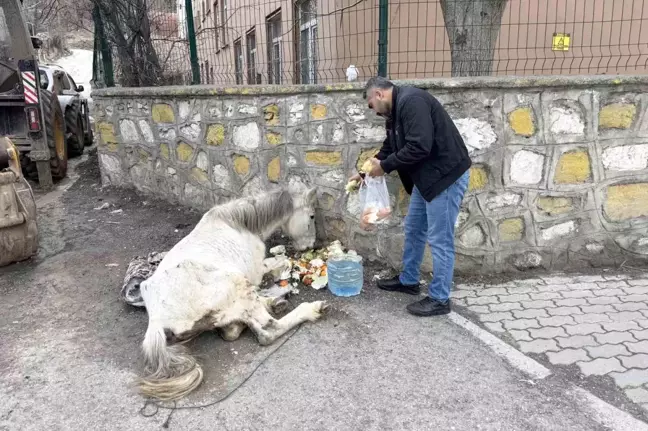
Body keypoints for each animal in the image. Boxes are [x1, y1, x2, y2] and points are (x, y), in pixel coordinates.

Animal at [137, 185, 330, 402]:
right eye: (311, 216)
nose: (311, 246)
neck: (238, 224)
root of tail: (157, 320)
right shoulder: (257, 270)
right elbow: (283, 262)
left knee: (235, 327)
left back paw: (273, 303)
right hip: (238, 285)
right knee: (268, 331)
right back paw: (310, 309)